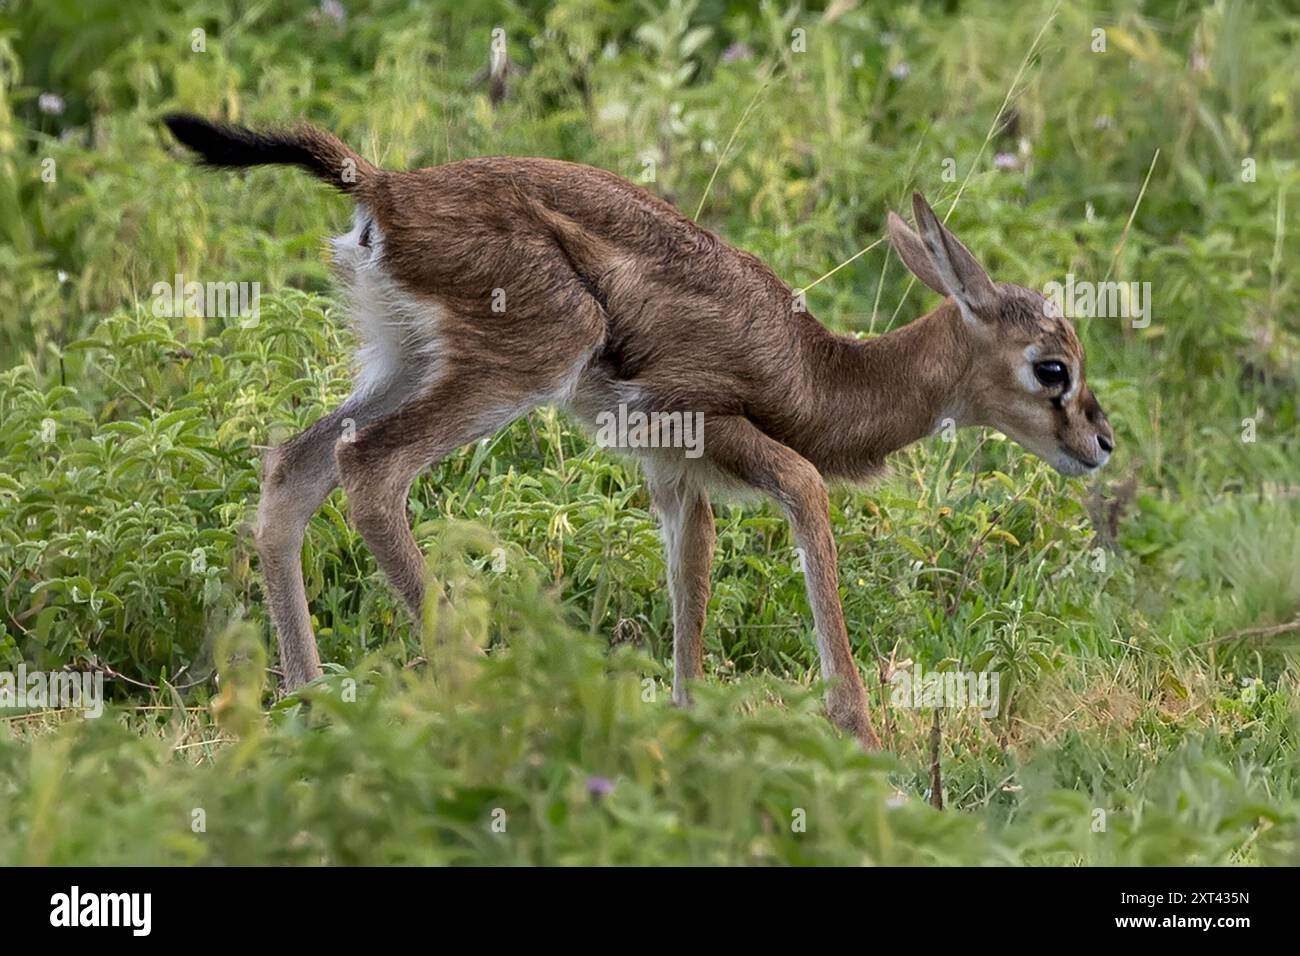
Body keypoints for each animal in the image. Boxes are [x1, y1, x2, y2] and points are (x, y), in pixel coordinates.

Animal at [163, 113, 1114, 749]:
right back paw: (484, 698)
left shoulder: (673, 478)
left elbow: (689, 586)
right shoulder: (724, 437)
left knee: (293, 467)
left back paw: (309, 712)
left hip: (402, 360)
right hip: (521, 362)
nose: (1099, 445)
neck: (816, 372)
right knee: (369, 468)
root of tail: (382, 188)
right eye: (1051, 368)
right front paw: (863, 744)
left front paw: (686, 733)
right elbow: (809, 500)